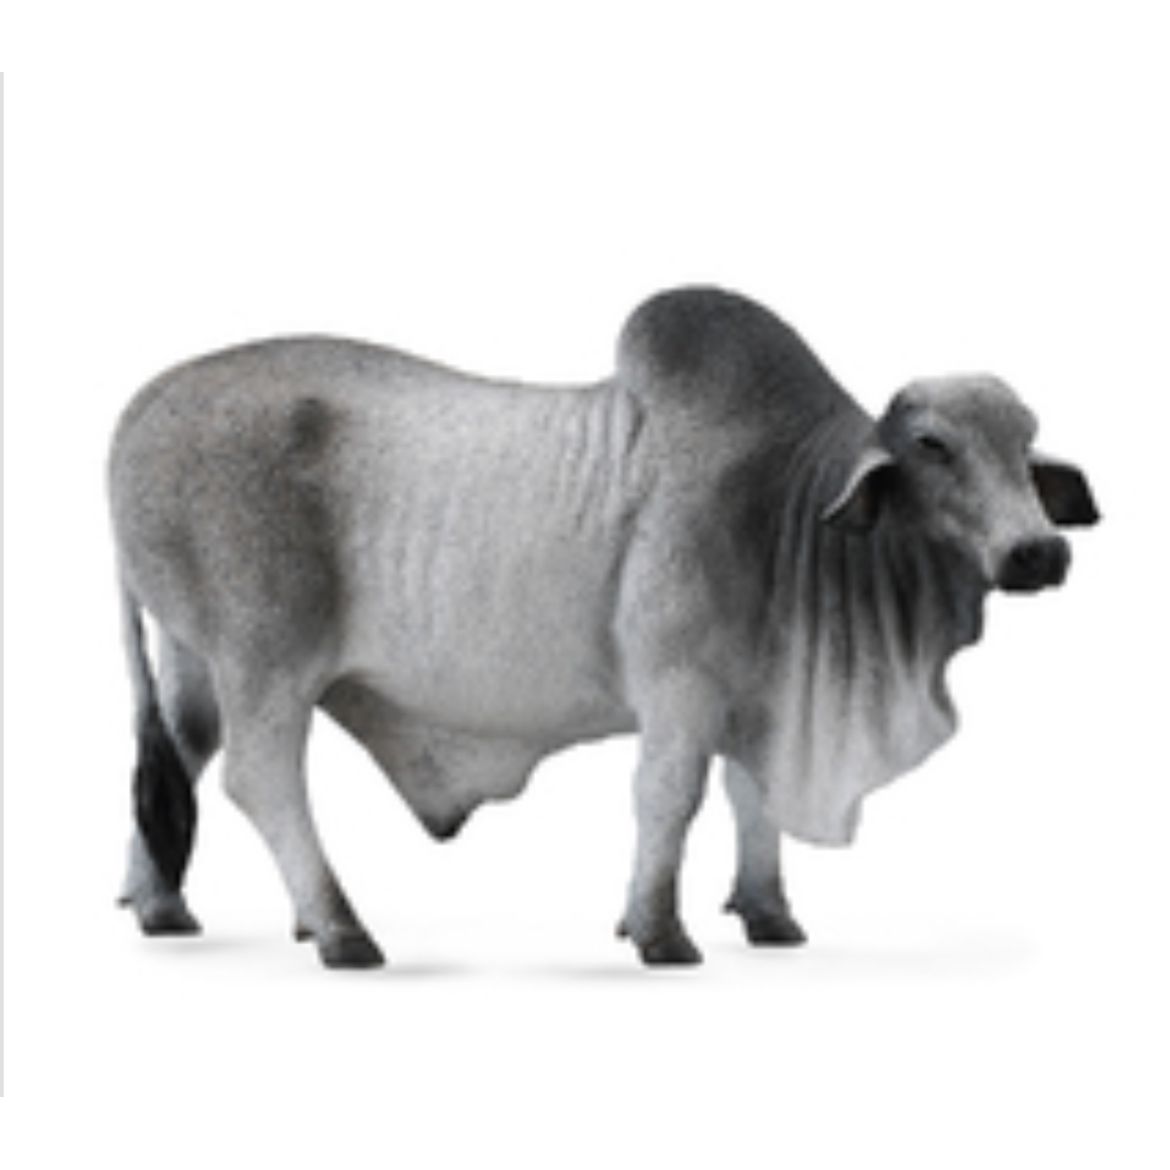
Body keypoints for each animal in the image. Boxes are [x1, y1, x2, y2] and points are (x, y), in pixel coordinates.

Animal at [109, 286, 1099, 968]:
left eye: (1026, 439)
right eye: (934, 447)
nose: (1037, 552)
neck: (791, 505)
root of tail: (141, 407)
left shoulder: (762, 686)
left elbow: (751, 799)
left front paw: (770, 916)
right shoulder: (680, 690)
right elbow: (671, 798)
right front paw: (658, 932)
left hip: (195, 660)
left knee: (179, 765)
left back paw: (164, 907)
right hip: (266, 661)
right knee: (260, 780)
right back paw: (341, 929)